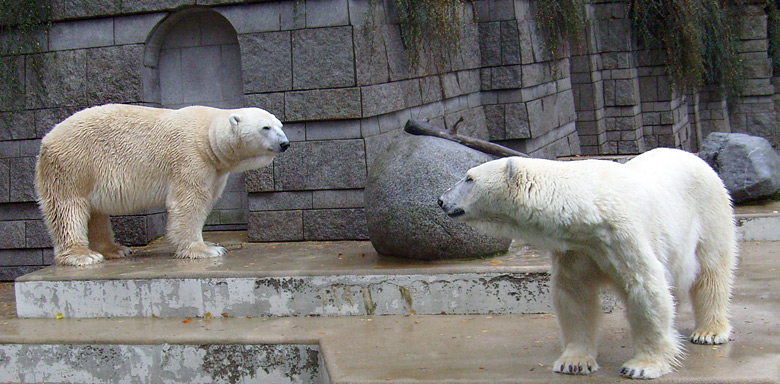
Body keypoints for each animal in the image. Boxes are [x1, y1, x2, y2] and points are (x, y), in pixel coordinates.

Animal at [35, 103, 288, 266]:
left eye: (280, 125)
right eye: (265, 127)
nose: (285, 143)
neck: (208, 138)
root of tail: (47, 139)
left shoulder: (215, 170)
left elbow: (206, 200)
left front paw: (207, 240)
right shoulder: (190, 157)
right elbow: (189, 202)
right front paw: (205, 249)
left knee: (95, 213)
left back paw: (115, 249)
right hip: (75, 163)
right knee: (68, 208)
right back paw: (83, 255)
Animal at [438, 148, 736, 380]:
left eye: (469, 178)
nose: (441, 200)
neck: (589, 210)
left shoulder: (623, 234)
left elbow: (645, 287)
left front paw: (642, 366)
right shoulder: (576, 248)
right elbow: (574, 295)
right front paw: (574, 362)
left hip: (709, 210)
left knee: (711, 270)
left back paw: (709, 331)